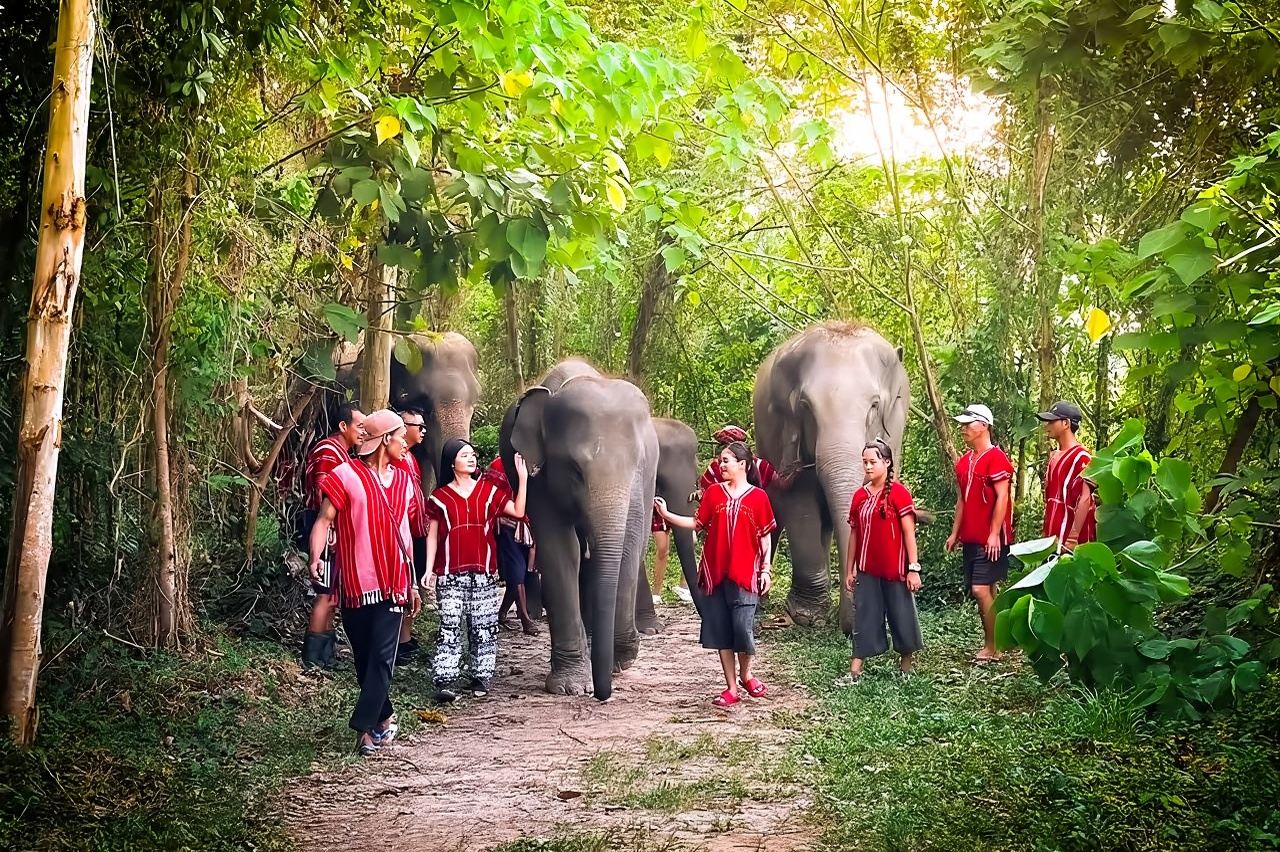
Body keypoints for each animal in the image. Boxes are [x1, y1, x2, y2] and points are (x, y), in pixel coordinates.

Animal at [501, 359, 658, 700]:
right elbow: (562, 551)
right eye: (575, 471)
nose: (602, 694)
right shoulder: (538, 477)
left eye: (637, 465)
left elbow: (631, 543)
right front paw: (571, 687)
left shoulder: (645, 478)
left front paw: (620, 658)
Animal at [753, 321, 910, 635]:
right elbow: (799, 500)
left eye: (875, 405)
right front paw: (807, 616)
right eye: (805, 406)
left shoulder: (895, 431)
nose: (850, 629)